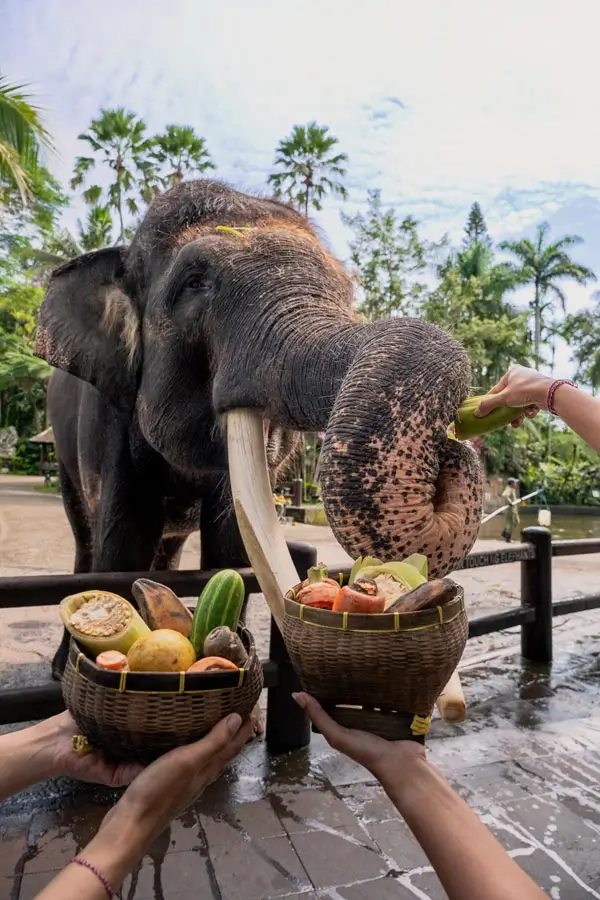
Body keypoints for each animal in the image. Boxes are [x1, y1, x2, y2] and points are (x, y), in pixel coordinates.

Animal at [35, 179, 483, 680]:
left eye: (346, 290)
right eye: (194, 283)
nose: (454, 443)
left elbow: (230, 552)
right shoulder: (110, 417)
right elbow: (122, 544)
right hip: (64, 453)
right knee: (85, 536)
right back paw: (59, 667)